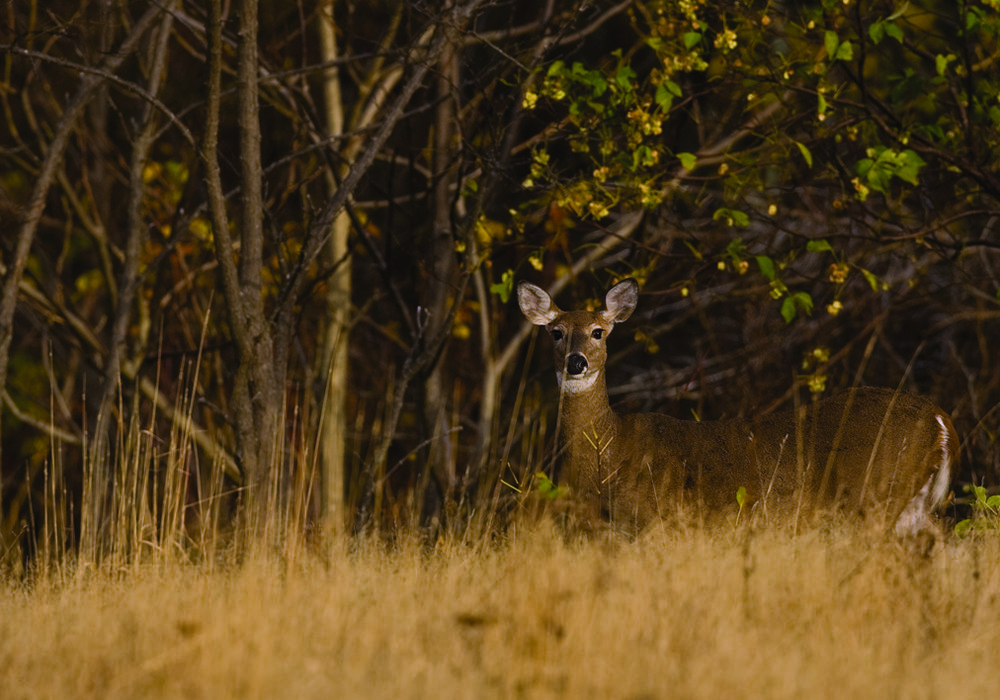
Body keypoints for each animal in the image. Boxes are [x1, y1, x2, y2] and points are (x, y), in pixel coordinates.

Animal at [517, 278, 957, 537]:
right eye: (556, 332)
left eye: (598, 332)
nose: (576, 362)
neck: (611, 452)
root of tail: (940, 420)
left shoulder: (660, 520)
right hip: (911, 506)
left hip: (876, 495)